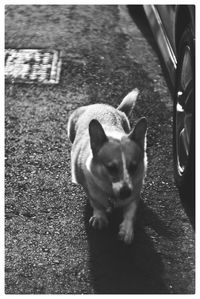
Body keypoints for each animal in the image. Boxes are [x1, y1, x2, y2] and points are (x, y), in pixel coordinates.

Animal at [68, 89, 148, 246]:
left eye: (134, 166)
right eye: (111, 168)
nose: (125, 193)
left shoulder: (135, 190)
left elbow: (130, 211)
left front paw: (126, 230)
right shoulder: (90, 188)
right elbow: (96, 202)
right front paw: (100, 217)